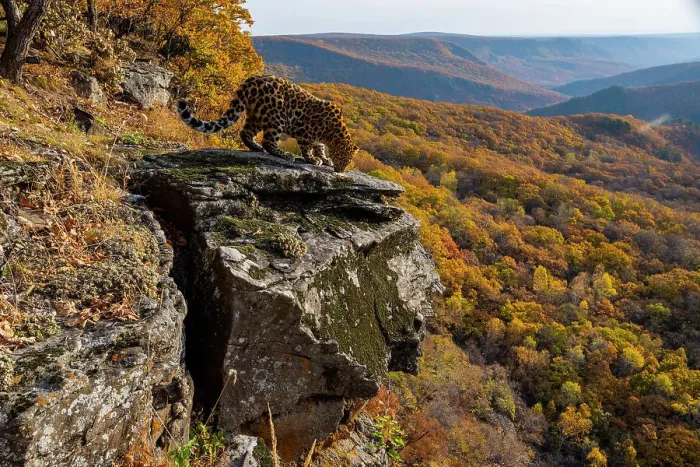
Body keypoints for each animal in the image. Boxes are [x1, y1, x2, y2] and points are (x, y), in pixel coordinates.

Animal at [177, 75, 359, 173]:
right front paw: (314, 160)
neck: (332, 132)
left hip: (256, 116)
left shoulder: (318, 139)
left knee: (245, 133)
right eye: (341, 157)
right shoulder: (304, 133)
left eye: (348, 161)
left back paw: (257, 148)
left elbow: (319, 148)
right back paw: (285, 154)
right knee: (268, 141)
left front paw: (325, 159)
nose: (340, 171)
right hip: (276, 118)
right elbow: (307, 149)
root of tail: (251, 80)